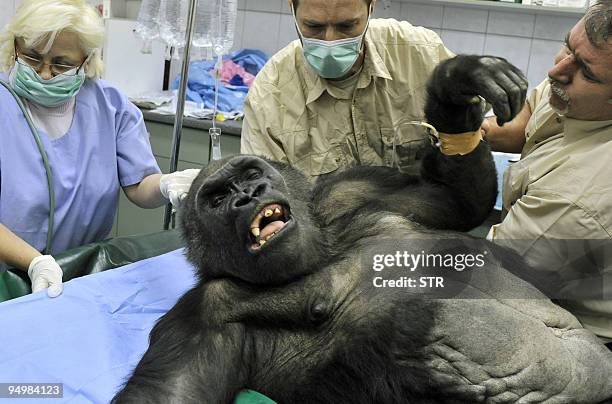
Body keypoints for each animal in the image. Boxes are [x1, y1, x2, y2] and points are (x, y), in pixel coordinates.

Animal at [113, 55, 612, 402]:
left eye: (252, 174)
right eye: (216, 199)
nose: (246, 197)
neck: (320, 251)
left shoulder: (352, 192)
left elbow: (458, 201)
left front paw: (459, 82)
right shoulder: (203, 315)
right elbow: (169, 393)